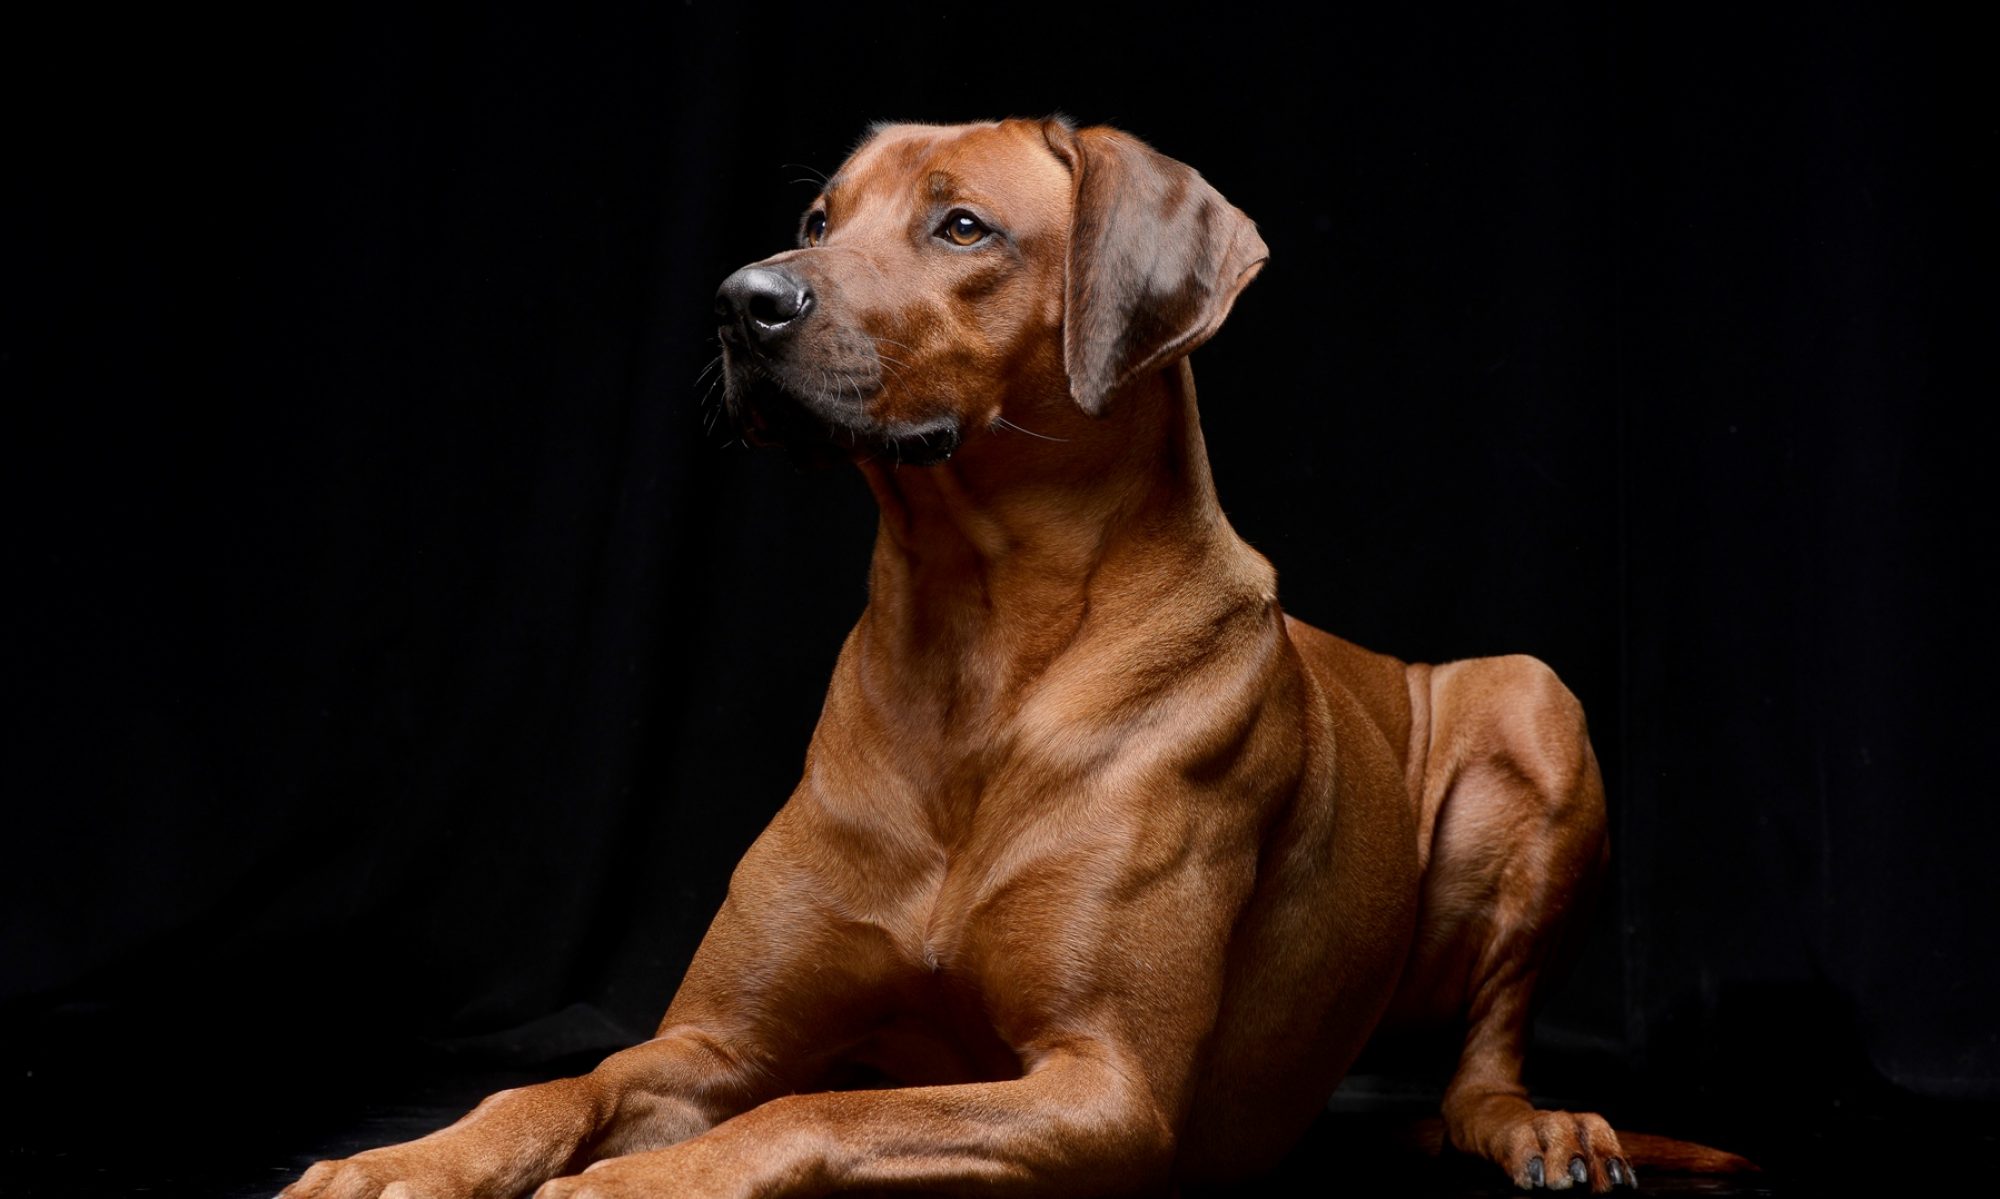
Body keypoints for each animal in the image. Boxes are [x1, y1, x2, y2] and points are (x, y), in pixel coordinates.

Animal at [278, 114, 1656, 1199]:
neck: (974, 643)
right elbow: (563, 1084)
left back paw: (1531, 1125)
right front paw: (410, 1157)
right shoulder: (711, 1045)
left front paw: (636, 1185)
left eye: (961, 227)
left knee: (1481, 1060)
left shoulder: (1103, 1089)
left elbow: (816, 1109)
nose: (741, 298)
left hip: (1532, 697)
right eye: (817, 215)